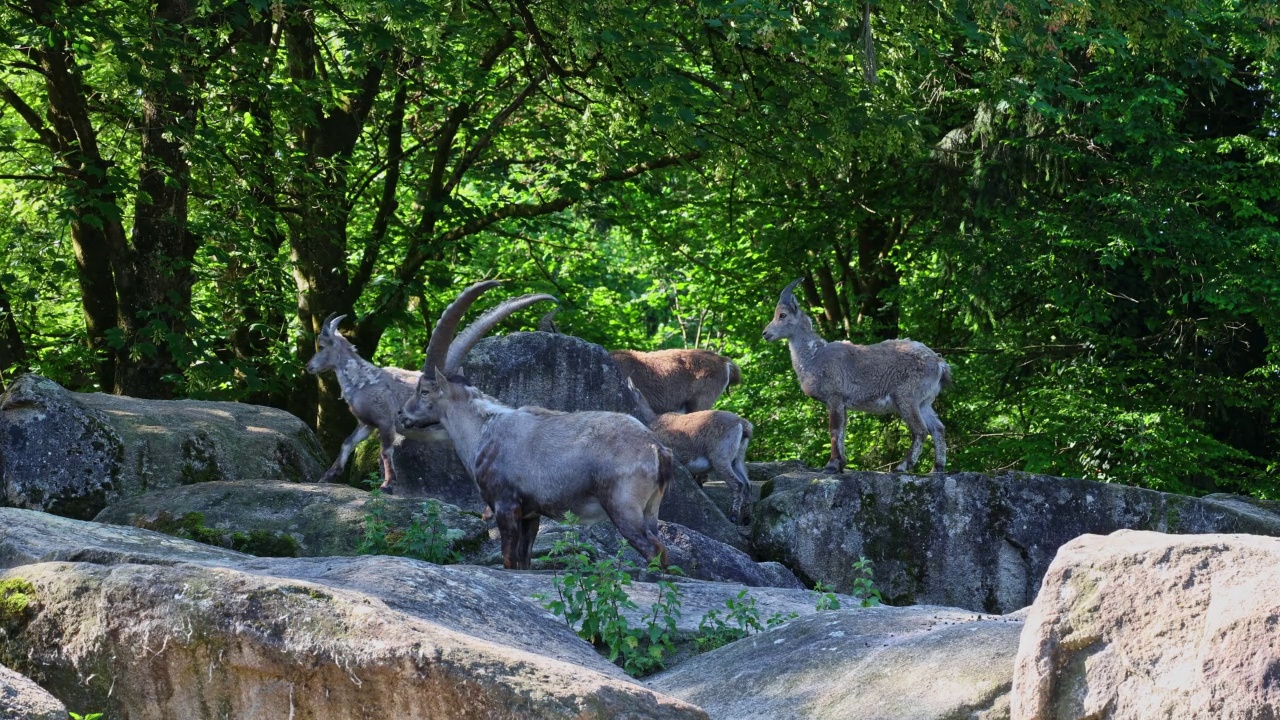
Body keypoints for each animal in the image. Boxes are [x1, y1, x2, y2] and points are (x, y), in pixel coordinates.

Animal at [399, 280, 675, 566]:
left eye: (424, 391)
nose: (403, 414)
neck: (482, 430)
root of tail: (657, 450)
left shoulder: (505, 505)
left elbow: (509, 559)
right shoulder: (531, 514)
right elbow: (524, 560)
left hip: (623, 506)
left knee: (654, 550)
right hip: (650, 509)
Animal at [757, 278, 952, 474]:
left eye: (782, 315)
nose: (765, 333)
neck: (815, 356)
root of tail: (939, 363)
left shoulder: (834, 397)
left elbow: (834, 430)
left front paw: (831, 465)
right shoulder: (842, 403)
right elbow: (842, 431)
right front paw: (841, 464)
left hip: (906, 397)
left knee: (920, 430)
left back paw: (902, 466)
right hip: (924, 401)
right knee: (938, 428)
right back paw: (937, 468)